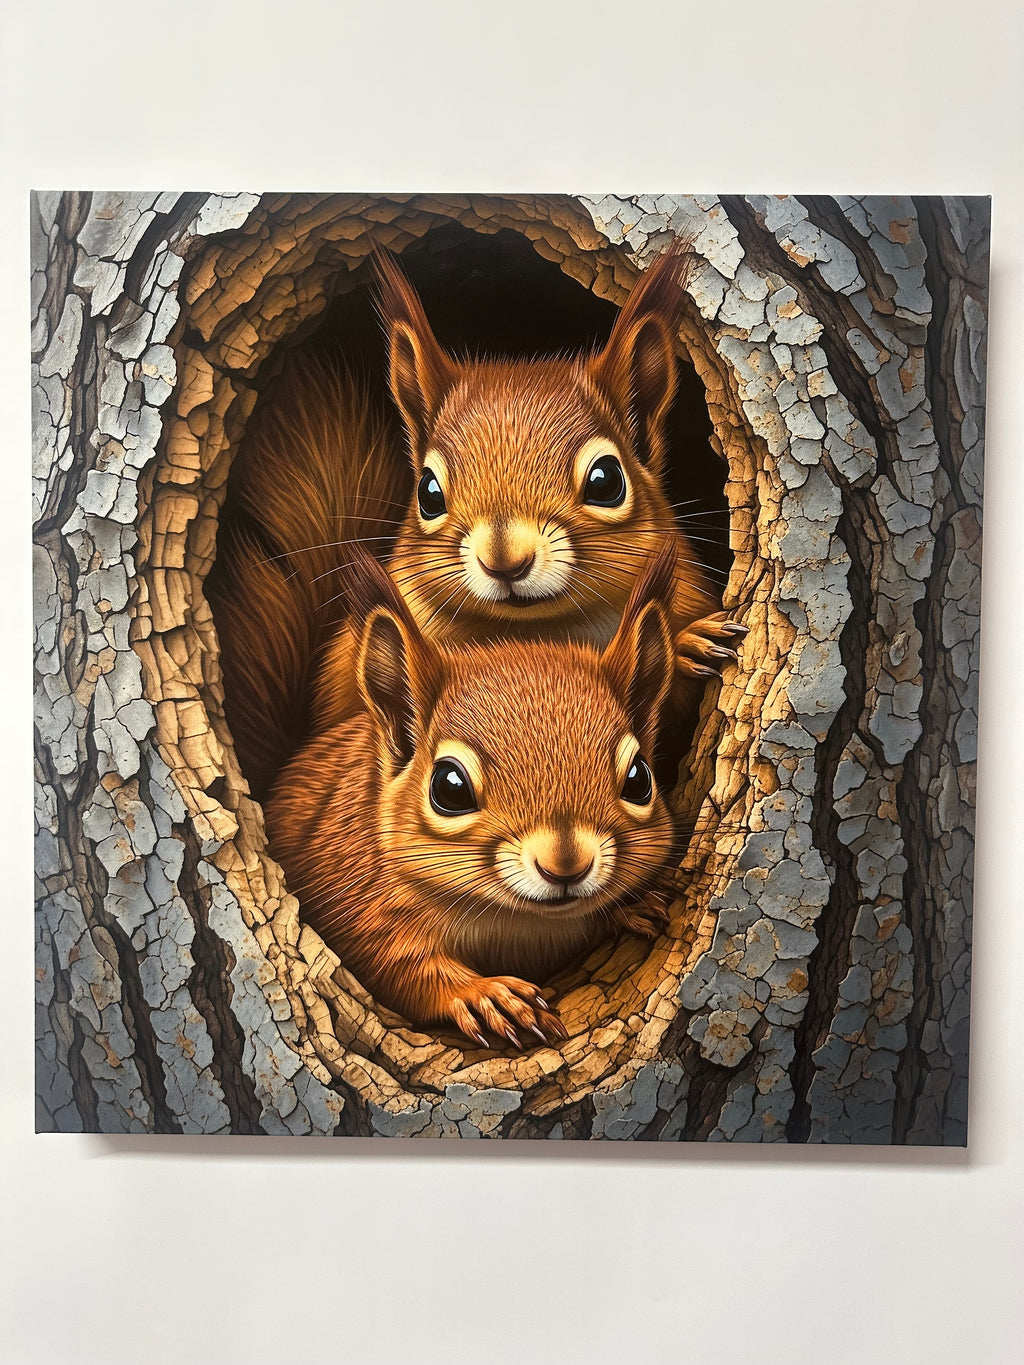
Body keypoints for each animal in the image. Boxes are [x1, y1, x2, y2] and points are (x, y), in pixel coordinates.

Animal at [264, 542, 680, 1047]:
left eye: (640, 779)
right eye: (449, 787)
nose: (566, 866)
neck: (519, 923)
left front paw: (632, 906)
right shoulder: (352, 892)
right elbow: (394, 966)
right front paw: (485, 996)